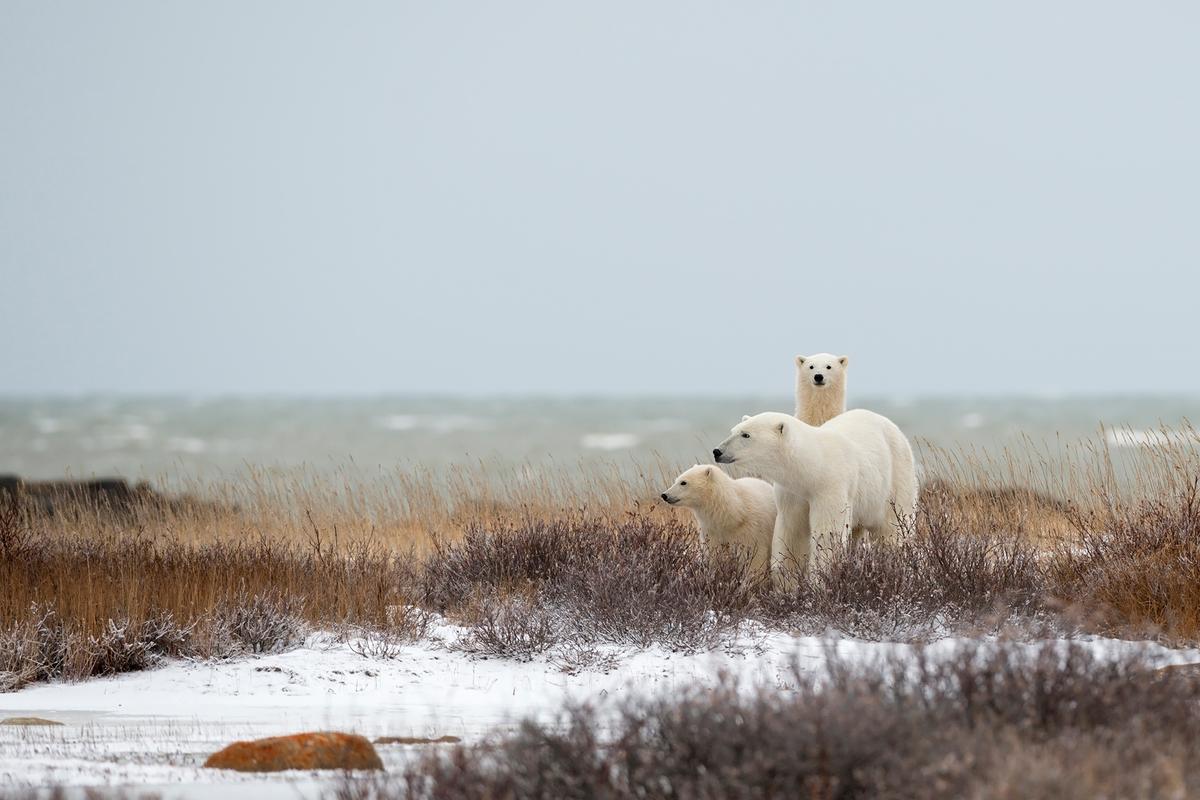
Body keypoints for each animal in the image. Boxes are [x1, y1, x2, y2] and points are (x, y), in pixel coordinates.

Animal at [712, 409, 917, 576]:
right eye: (733, 431)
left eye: (746, 435)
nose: (717, 451)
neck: (814, 467)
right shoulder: (792, 493)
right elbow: (792, 532)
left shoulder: (830, 486)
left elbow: (827, 534)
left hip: (895, 477)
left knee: (892, 529)